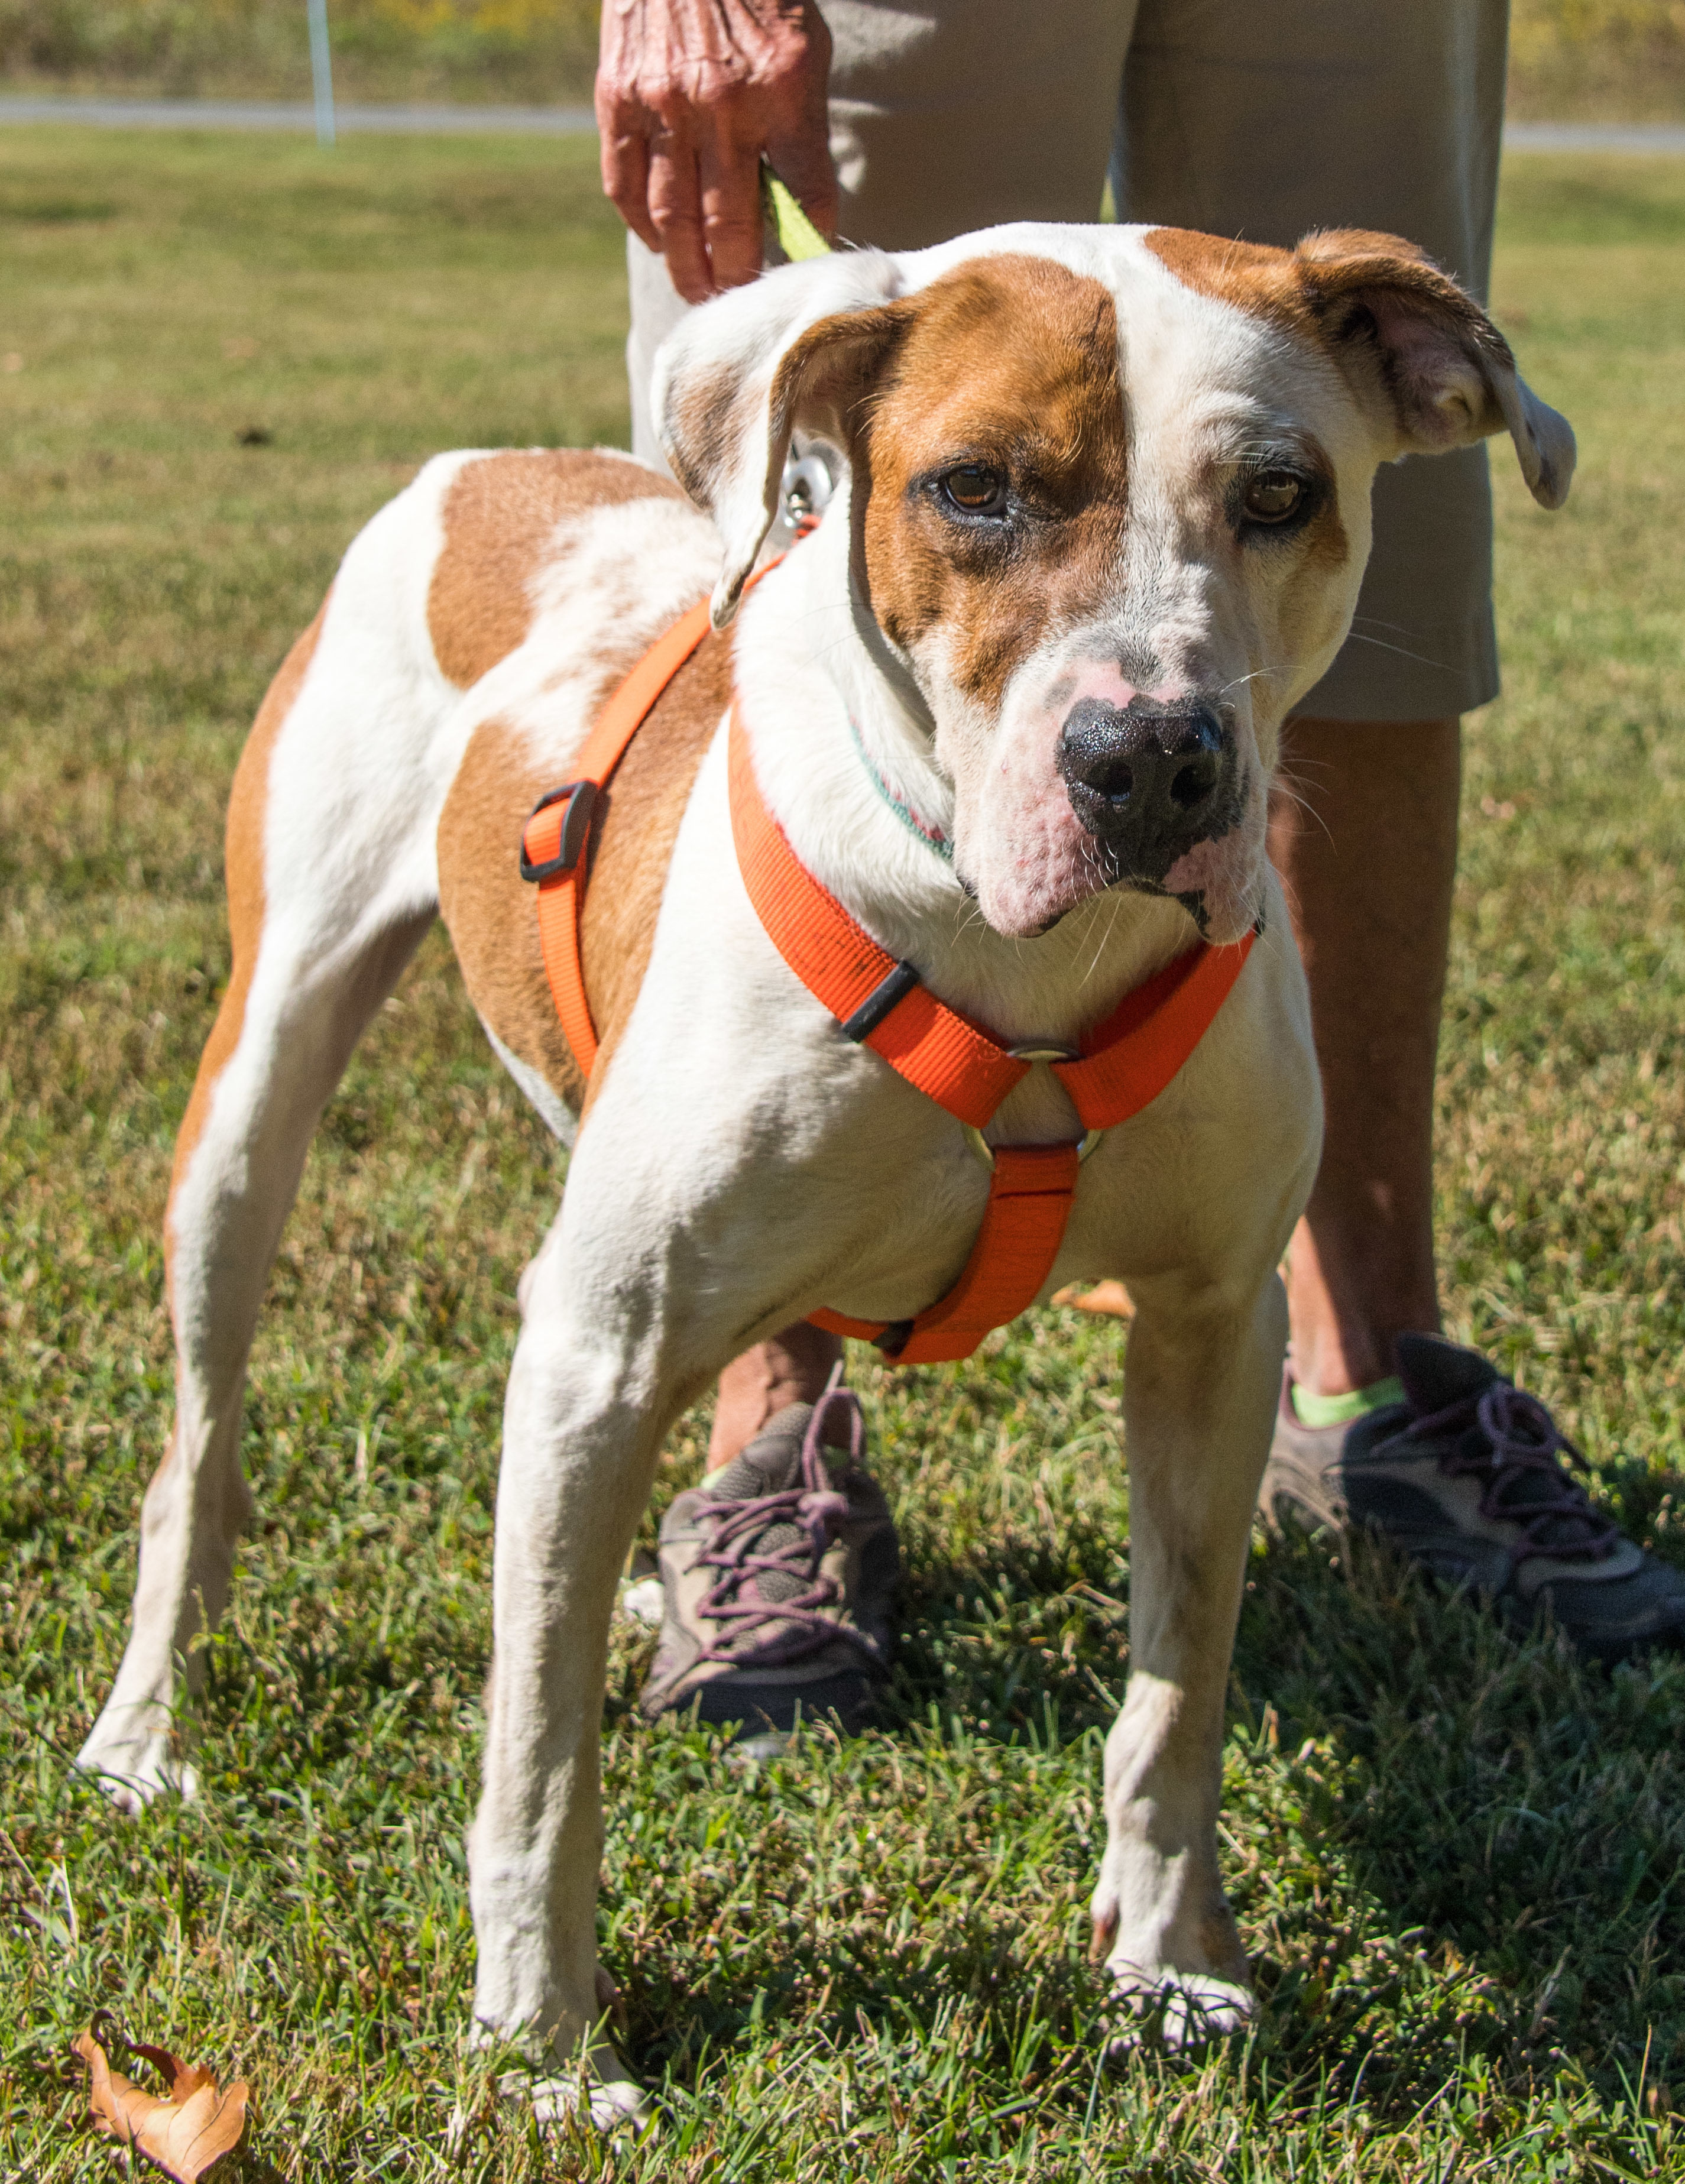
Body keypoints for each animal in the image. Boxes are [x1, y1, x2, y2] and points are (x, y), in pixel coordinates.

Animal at [76, 221, 1580, 2114]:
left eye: (1280, 493)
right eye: (973, 488)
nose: (1152, 762)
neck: (1022, 959)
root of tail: (488, 468)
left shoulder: (1212, 1328)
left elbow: (1178, 1691)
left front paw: (1173, 1968)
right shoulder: (598, 1338)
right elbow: (539, 1761)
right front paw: (542, 2046)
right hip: (259, 1083)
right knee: (197, 1454)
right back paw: (147, 1729)